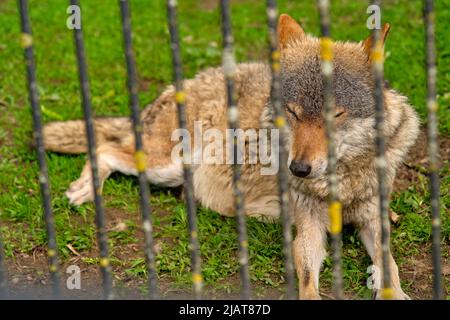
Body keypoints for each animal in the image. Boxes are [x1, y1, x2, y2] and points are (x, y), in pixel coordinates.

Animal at [42, 14, 418, 300]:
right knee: (103, 150)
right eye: (293, 113)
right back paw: (83, 189)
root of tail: (181, 85)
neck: (343, 179)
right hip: (164, 165)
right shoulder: (309, 229)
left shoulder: (371, 219)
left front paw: (395, 292)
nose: (298, 169)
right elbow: (309, 282)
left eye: (335, 115)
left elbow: (390, 264)